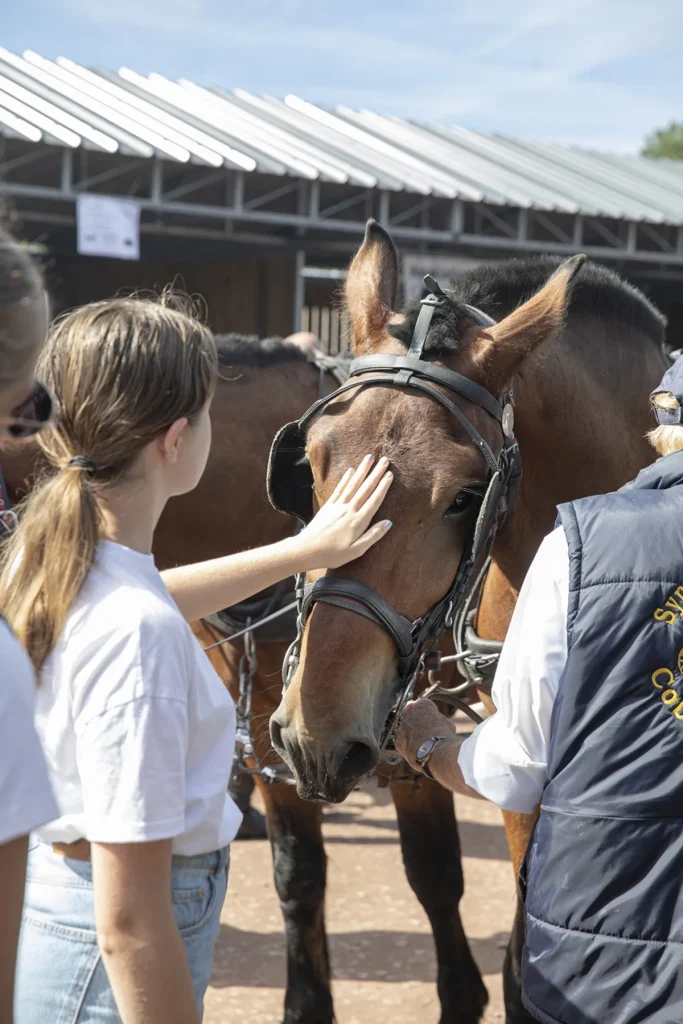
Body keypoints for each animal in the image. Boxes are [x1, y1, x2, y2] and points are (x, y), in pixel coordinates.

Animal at [0, 335, 489, 1024]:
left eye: (463, 499)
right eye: (310, 473)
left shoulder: (396, 732)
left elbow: (434, 871)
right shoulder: (279, 722)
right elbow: (298, 873)